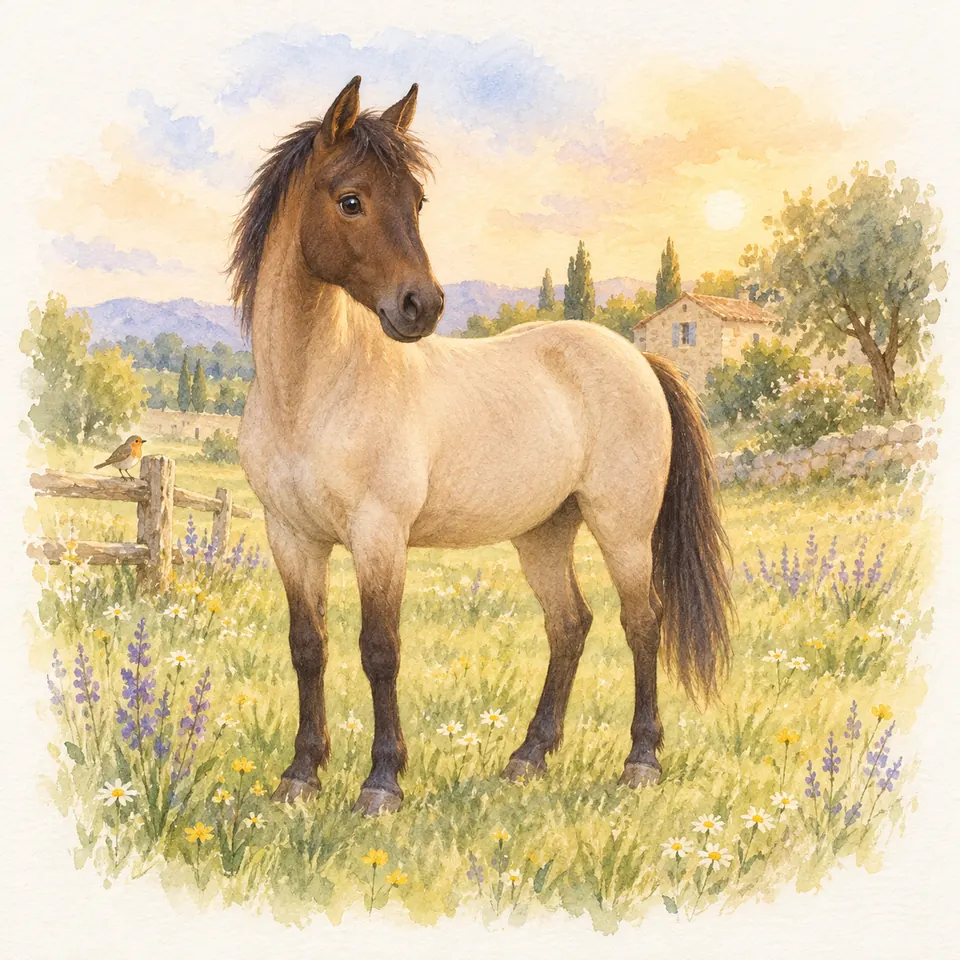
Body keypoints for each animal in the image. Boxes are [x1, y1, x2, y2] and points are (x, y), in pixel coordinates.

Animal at [232, 76, 733, 816]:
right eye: (351, 199)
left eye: (417, 201)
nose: (422, 306)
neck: (311, 392)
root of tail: (637, 358)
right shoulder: (291, 536)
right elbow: (308, 646)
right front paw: (300, 775)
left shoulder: (379, 535)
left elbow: (379, 649)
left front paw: (382, 782)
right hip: (544, 533)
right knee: (570, 624)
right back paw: (529, 756)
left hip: (622, 527)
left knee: (643, 621)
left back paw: (641, 760)